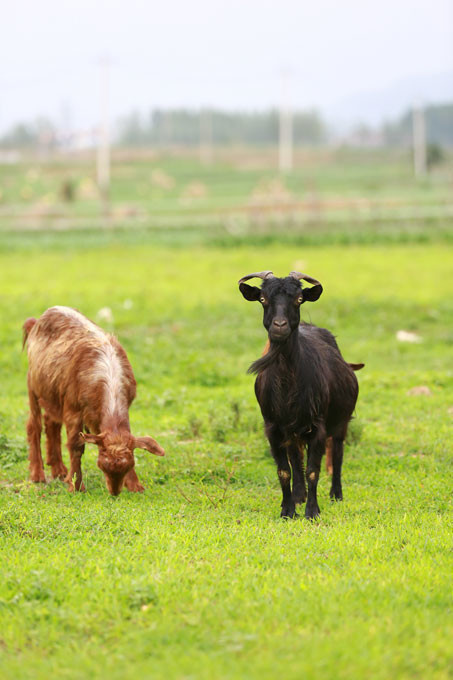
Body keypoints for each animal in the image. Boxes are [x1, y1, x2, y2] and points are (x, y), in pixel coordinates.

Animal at [23, 306, 164, 494]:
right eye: (101, 466)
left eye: (128, 467)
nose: (115, 492)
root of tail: (37, 321)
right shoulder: (73, 410)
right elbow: (76, 446)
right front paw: (76, 486)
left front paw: (135, 486)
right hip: (33, 385)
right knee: (34, 425)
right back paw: (37, 474)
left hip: (53, 395)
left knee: (51, 422)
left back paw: (59, 470)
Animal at [238, 268, 362, 516]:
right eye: (263, 299)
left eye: (298, 299)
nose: (279, 325)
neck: (288, 386)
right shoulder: (273, 427)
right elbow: (284, 470)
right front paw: (288, 510)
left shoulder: (318, 426)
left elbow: (313, 470)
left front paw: (312, 512)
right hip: (293, 430)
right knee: (296, 459)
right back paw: (298, 496)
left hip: (340, 422)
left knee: (337, 453)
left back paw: (336, 494)